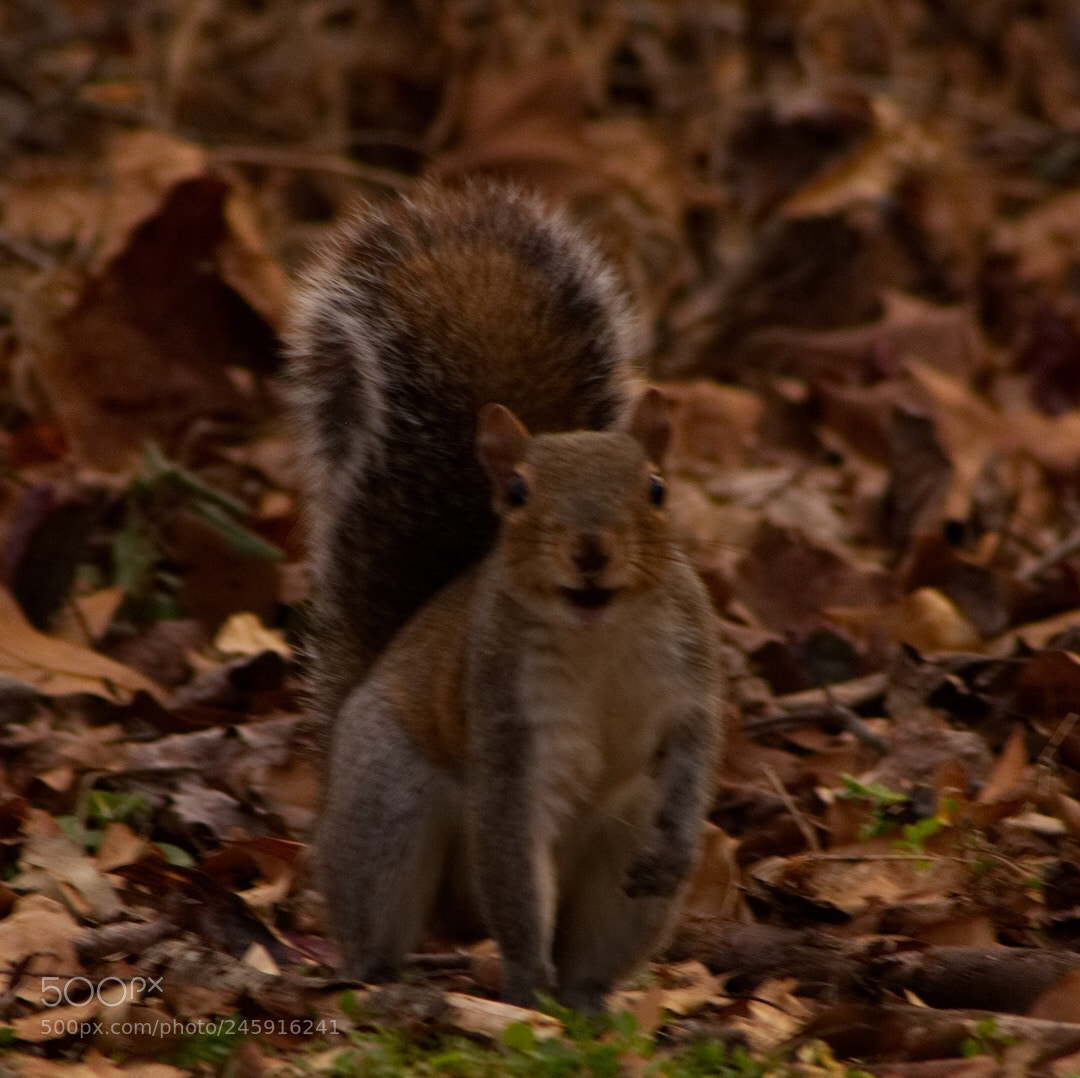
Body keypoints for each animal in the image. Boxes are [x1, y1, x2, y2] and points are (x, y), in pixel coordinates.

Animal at [287, 183, 725, 1014]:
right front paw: (524, 978)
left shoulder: (690, 671)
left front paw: (681, 839)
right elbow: (516, 866)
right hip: (385, 801)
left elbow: (693, 749)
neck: (597, 633)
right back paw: (391, 981)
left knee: (605, 930)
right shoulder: (506, 722)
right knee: (384, 910)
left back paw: (586, 1003)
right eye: (518, 494)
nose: (591, 550)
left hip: (622, 854)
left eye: (656, 488)